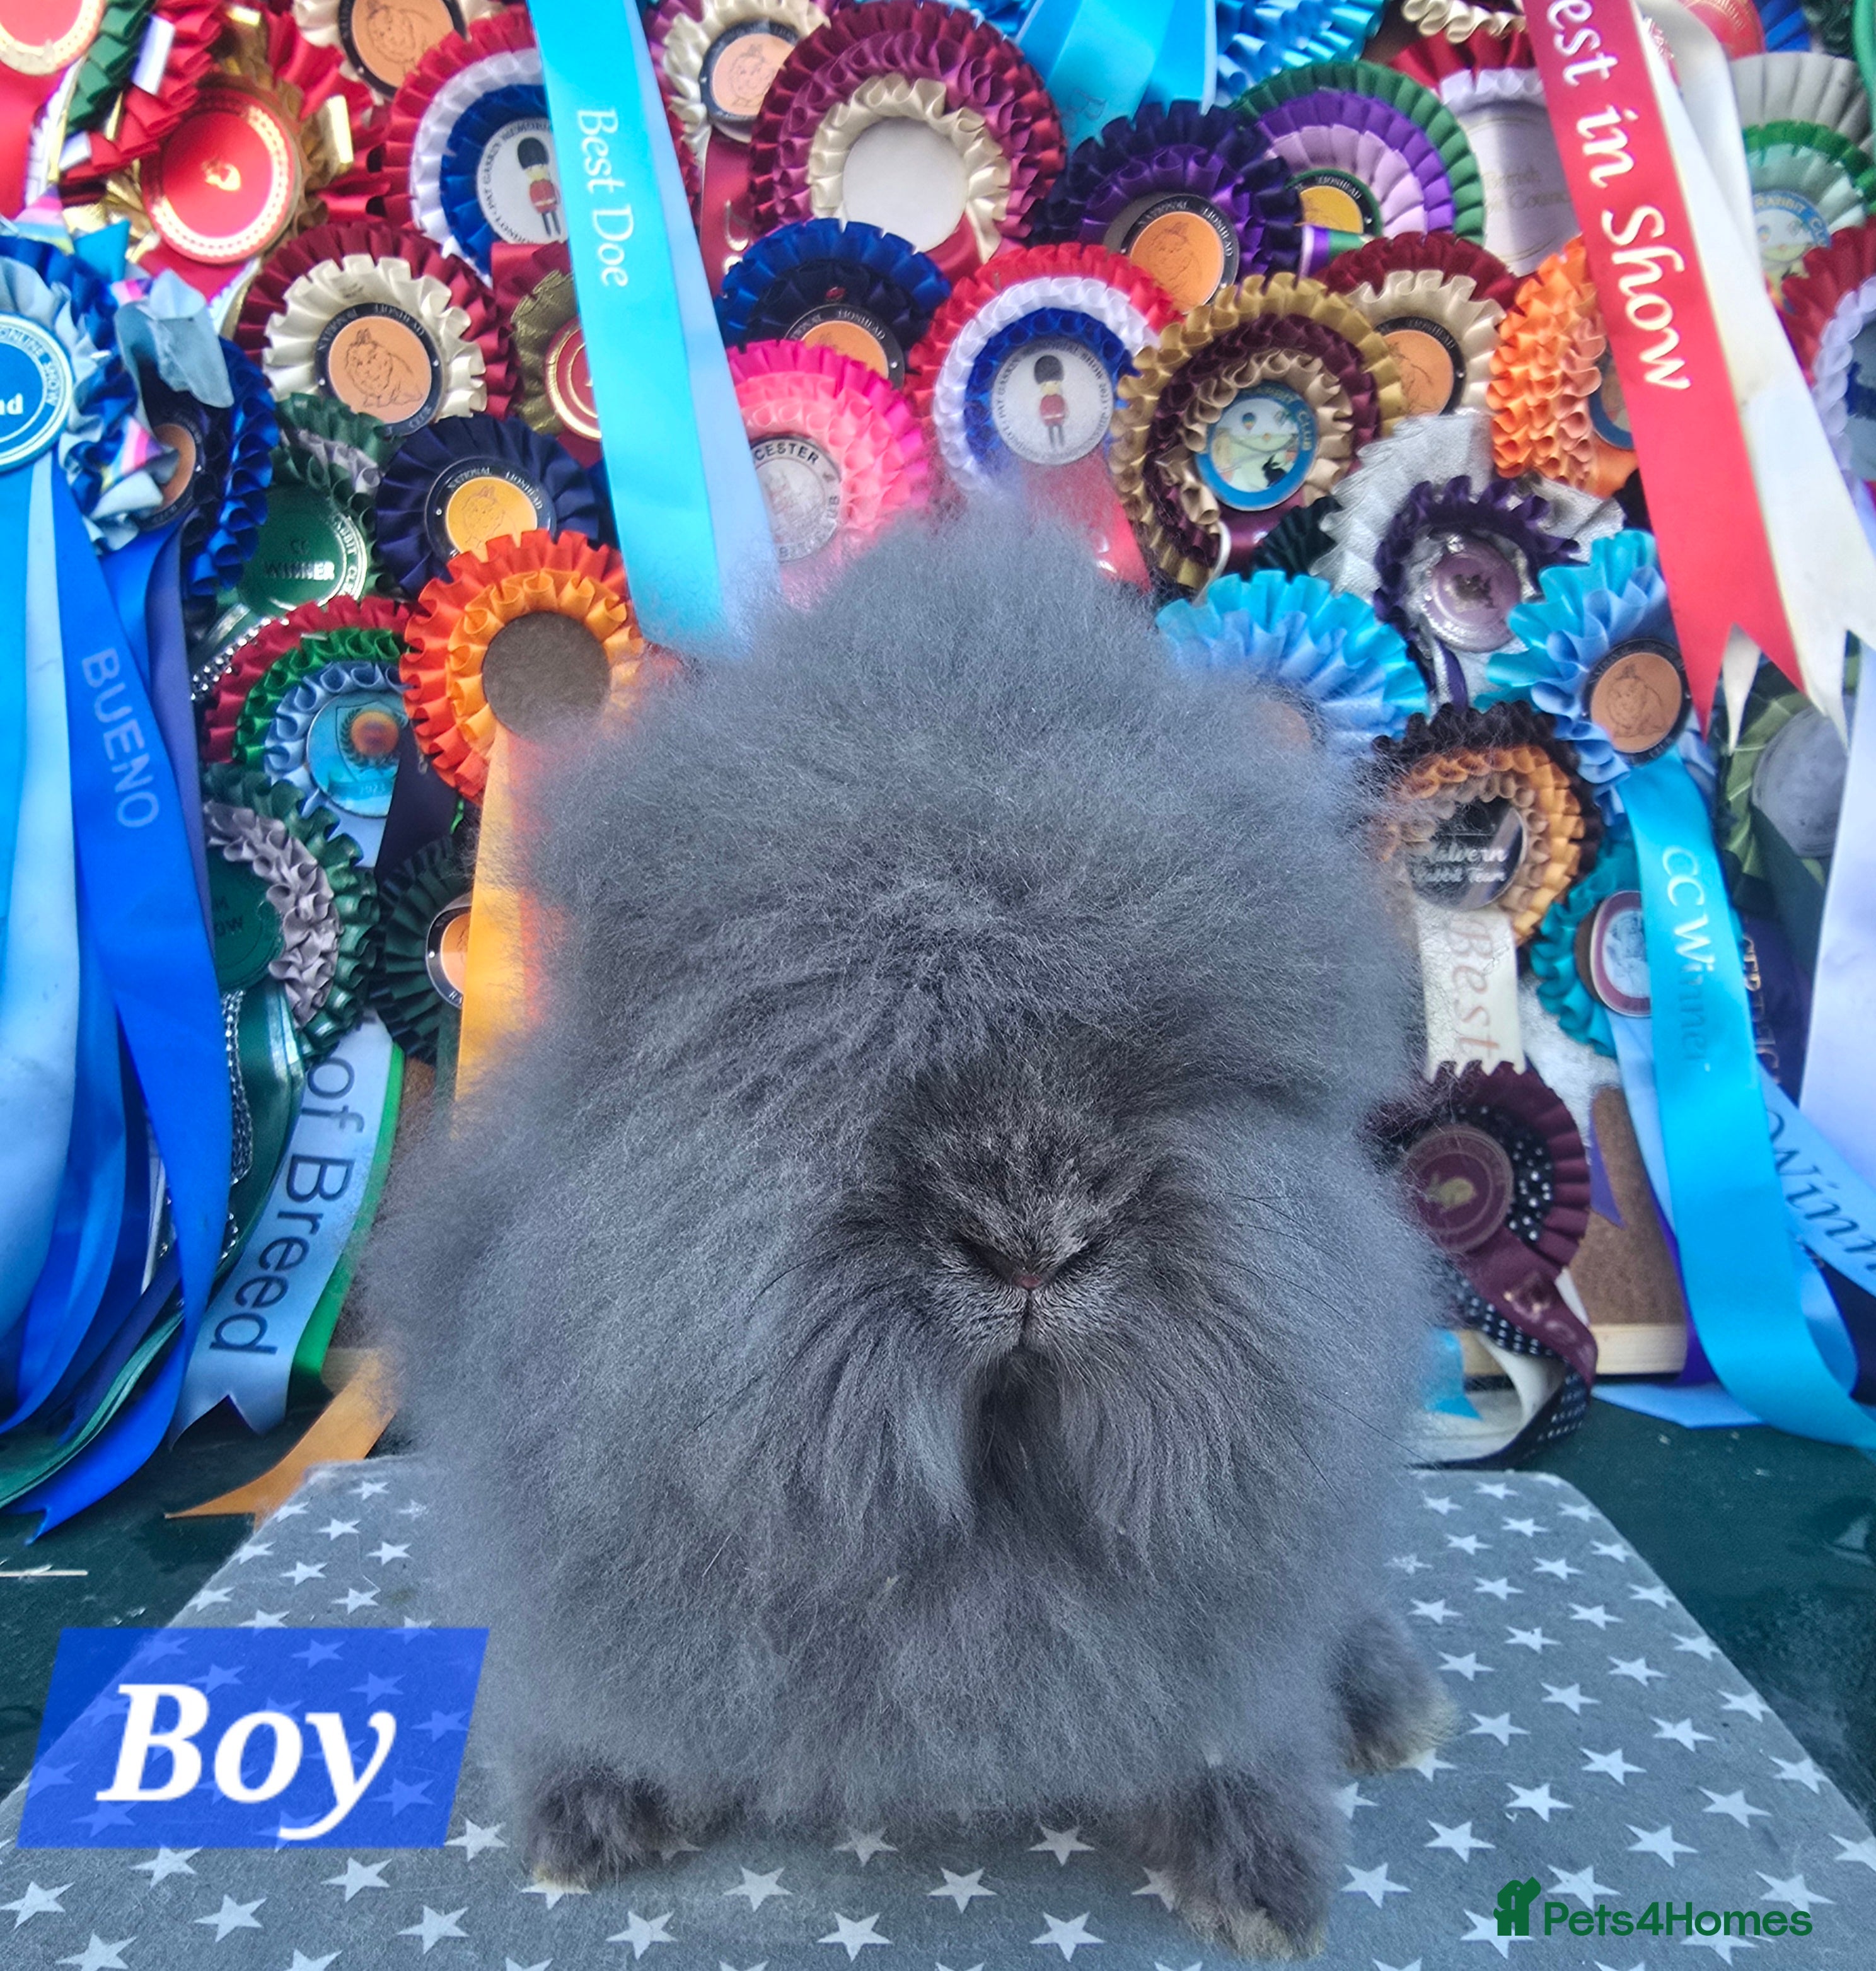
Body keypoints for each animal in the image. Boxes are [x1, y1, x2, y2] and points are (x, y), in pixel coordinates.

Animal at [364, 513, 1450, 1959]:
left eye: (1181, 1072)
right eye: (828, 1058)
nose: (1036, 1240)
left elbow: (1235, 1733)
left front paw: (1267, 1881)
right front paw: (587, 1815)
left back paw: (1391, 1705)